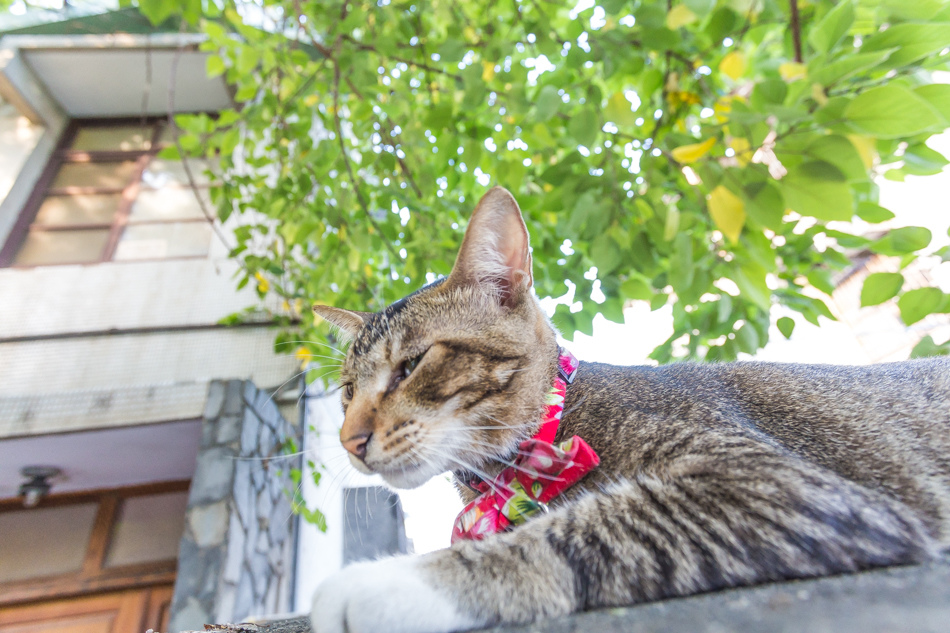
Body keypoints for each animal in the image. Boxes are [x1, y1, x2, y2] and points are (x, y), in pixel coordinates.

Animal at [308, 185, 948, 628]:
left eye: (412, 364)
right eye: (347, 392)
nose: (349, 440)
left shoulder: (773, 481)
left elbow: (590, 527)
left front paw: (391, 583)